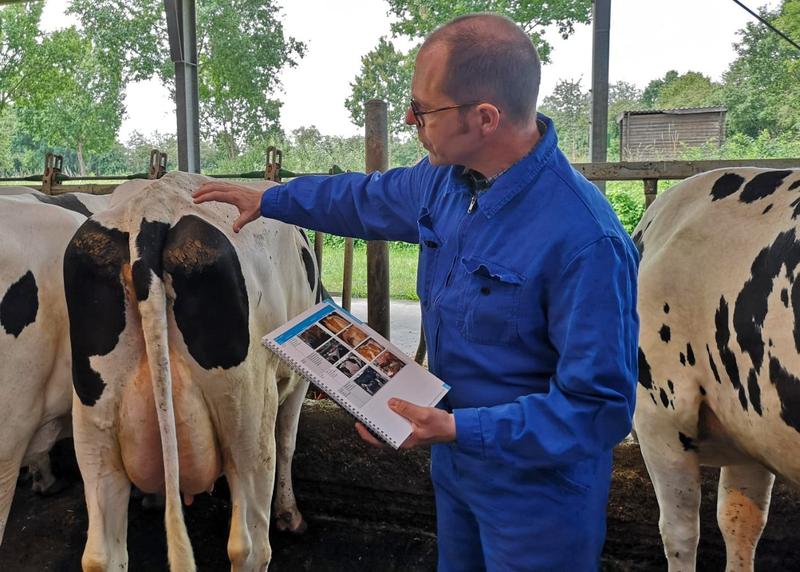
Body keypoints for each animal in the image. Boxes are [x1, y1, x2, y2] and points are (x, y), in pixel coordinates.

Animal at [63, 171, 318, 572]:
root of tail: (150, 213)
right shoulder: (297, 378)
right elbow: (288, 441)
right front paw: (290, 515)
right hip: (247, 415)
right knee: (249, 545)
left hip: (93, 420)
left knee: (101, 553)